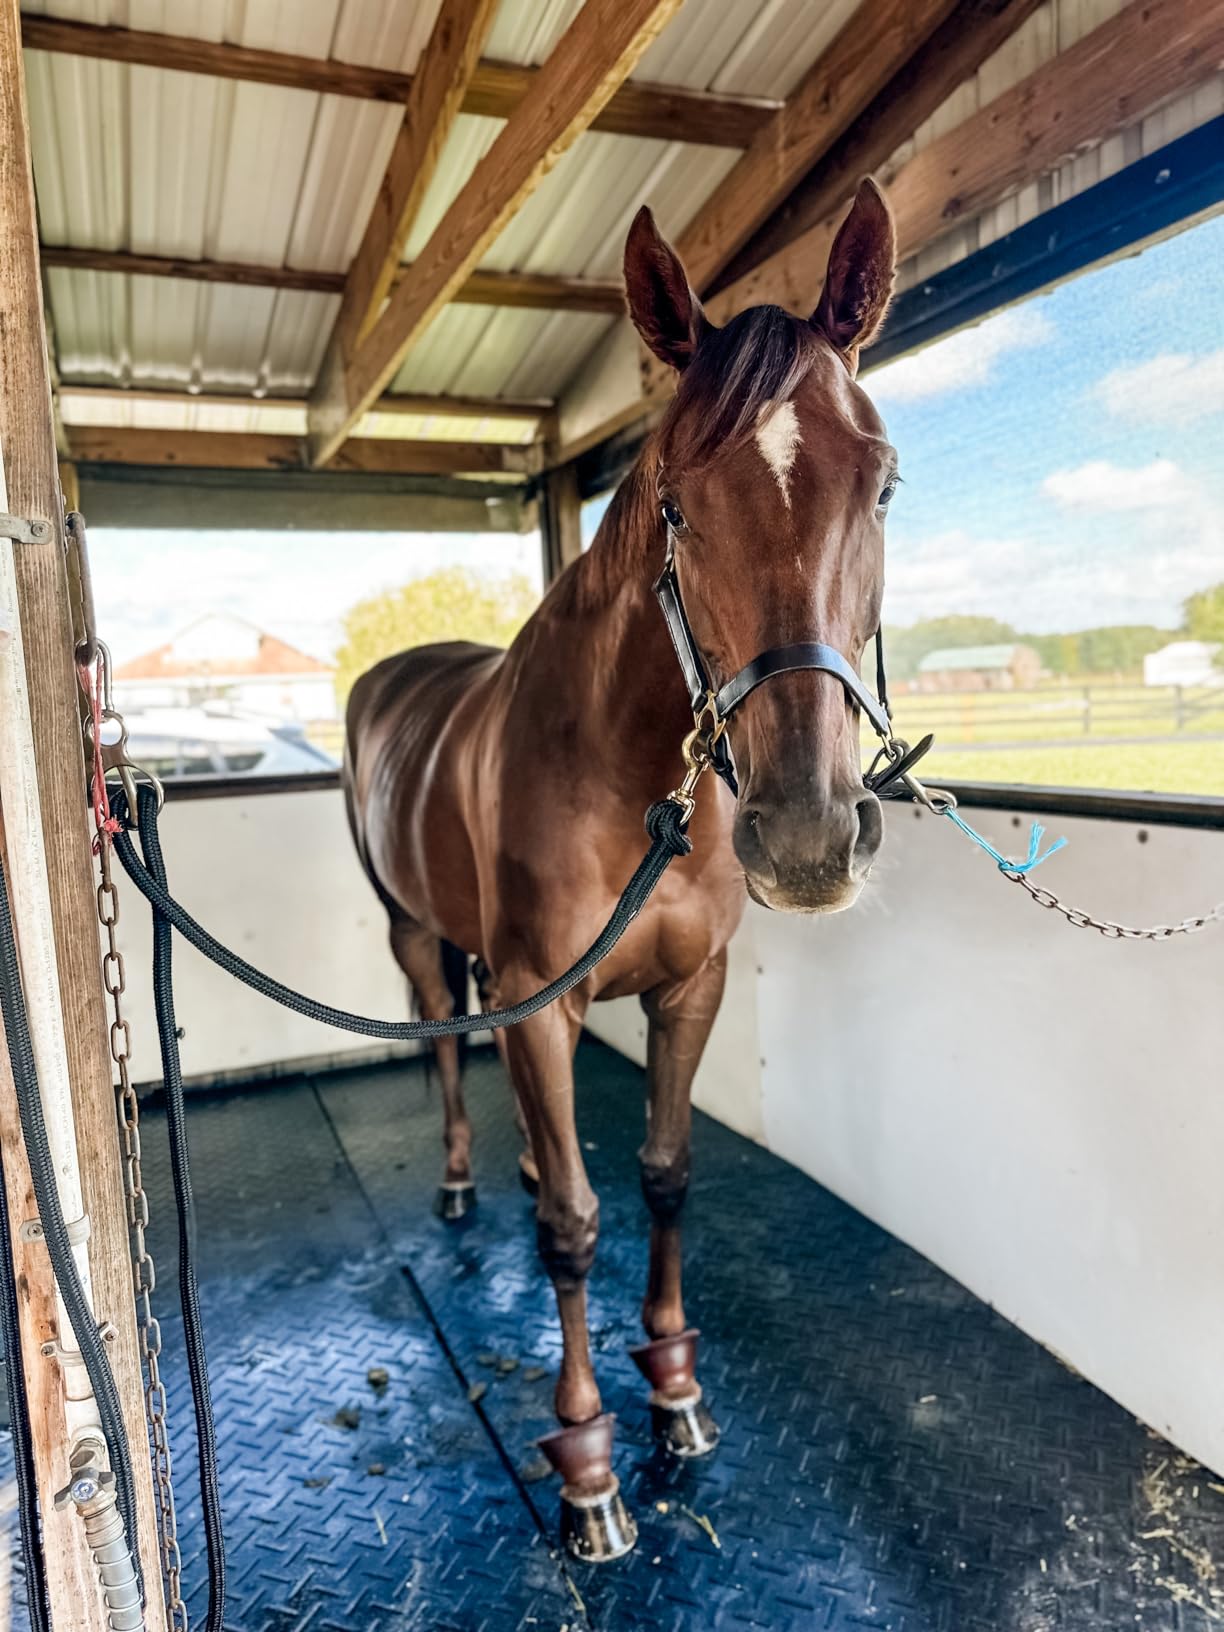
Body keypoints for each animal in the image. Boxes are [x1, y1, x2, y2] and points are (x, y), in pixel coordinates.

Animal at [343, 177, 900, 1559]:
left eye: (883, 486)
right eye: (678, 505)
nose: (808, 835)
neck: (626, 769)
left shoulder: (686, 990)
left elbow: (661, 1179)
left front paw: (678, 1393)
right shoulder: (548, 1008)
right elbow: (576, 1229)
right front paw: (589, 1464)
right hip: (415, 935)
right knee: (448, 1042)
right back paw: (458, 1183)